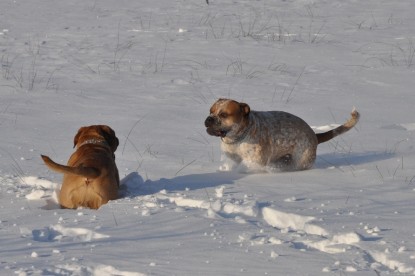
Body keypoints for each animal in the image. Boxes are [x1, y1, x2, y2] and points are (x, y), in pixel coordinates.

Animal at [205, 99, 360, 171]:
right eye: (210, 111)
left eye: (223, 114)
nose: (208, 119)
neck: (238, 139)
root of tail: (314, 135)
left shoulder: (255, 163)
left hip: (300, 161)